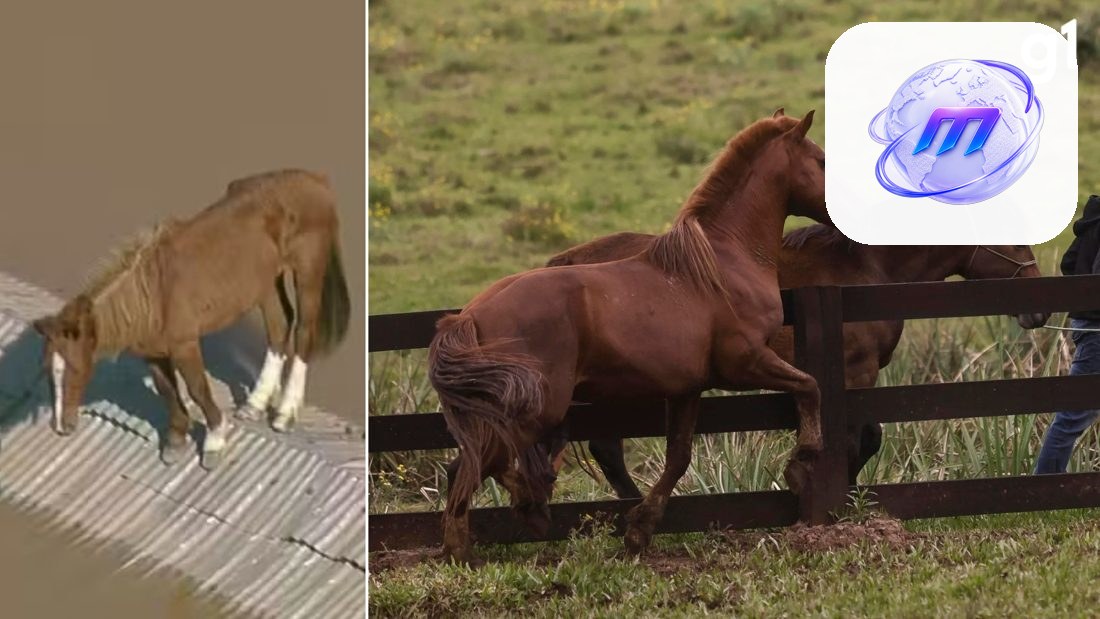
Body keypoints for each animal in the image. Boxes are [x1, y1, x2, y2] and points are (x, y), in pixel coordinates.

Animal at [32, 169, 351, 470]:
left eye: (74, 368)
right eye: (47, 370)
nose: (60, 427)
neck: (153, 296)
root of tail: (315, 180)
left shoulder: (185, 345)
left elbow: (197, 389)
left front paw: (214, 442)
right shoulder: (152, 353)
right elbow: (167, 391)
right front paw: (175, 441)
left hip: (307, 273)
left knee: (304, 332)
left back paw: (284, 415)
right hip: (266, 282)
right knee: (279, 327)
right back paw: (255, 404)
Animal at [428, 109, 830, 563]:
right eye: (821, 161)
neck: (723, 263)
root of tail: (469, 317)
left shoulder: (688, 389)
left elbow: (678, 458)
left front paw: (639, 531)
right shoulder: (744, 365)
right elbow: (810, 386)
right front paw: (802, 460)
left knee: (464, 466)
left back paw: (478, 541)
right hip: (539, 409)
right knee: (477, 465)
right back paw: (512, 519)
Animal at [541, 225, 1049, 498]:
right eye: (1012, 238)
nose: (1039, 308)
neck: (866, 272)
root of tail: (566, 263)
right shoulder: (856, 372)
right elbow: (861, 438)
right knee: (606, 448)